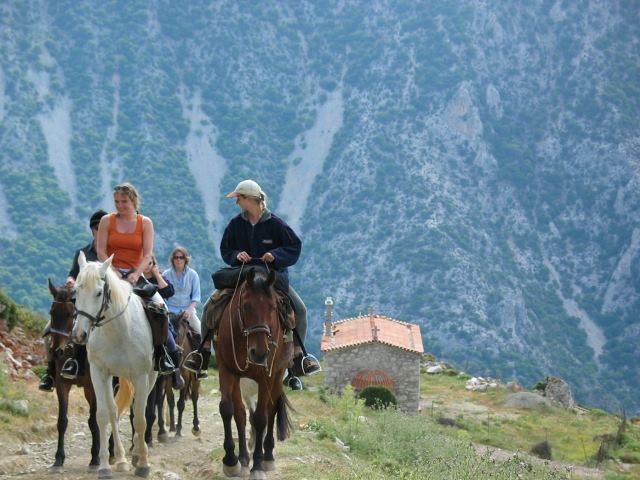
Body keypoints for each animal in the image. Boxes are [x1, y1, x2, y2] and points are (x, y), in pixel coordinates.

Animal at [47, 280, 99, 470]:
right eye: (52, 312)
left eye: (71, 314)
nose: (57, 352)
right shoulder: (62, 384)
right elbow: (62, 421)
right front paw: (58, 458)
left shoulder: (96, 387)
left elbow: (94, 421)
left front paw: (95, 458)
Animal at [71, 253, 158, 478]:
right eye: (76, 291)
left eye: (99, 292)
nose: (79, 334)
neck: (118, 330)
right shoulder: (99, 373)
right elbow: (103, 415)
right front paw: (104, 466)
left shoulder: (140, 376)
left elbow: (140, 418)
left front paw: (144, 463)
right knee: (114, 412)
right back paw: (121, 459)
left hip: (151, 376)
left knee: (138, 411)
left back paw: (137, 454)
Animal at [215, 268, 296, 478]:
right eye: (246, 306)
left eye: (273, 307)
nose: (259, 353)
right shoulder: (227, 370)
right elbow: (229, 410)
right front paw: (231, 461)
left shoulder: (266, 377)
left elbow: (260, 418)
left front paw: (257, 465)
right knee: (241, 413)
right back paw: (244, 458)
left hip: (278, 376)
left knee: (271, 411)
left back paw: (268, 457)